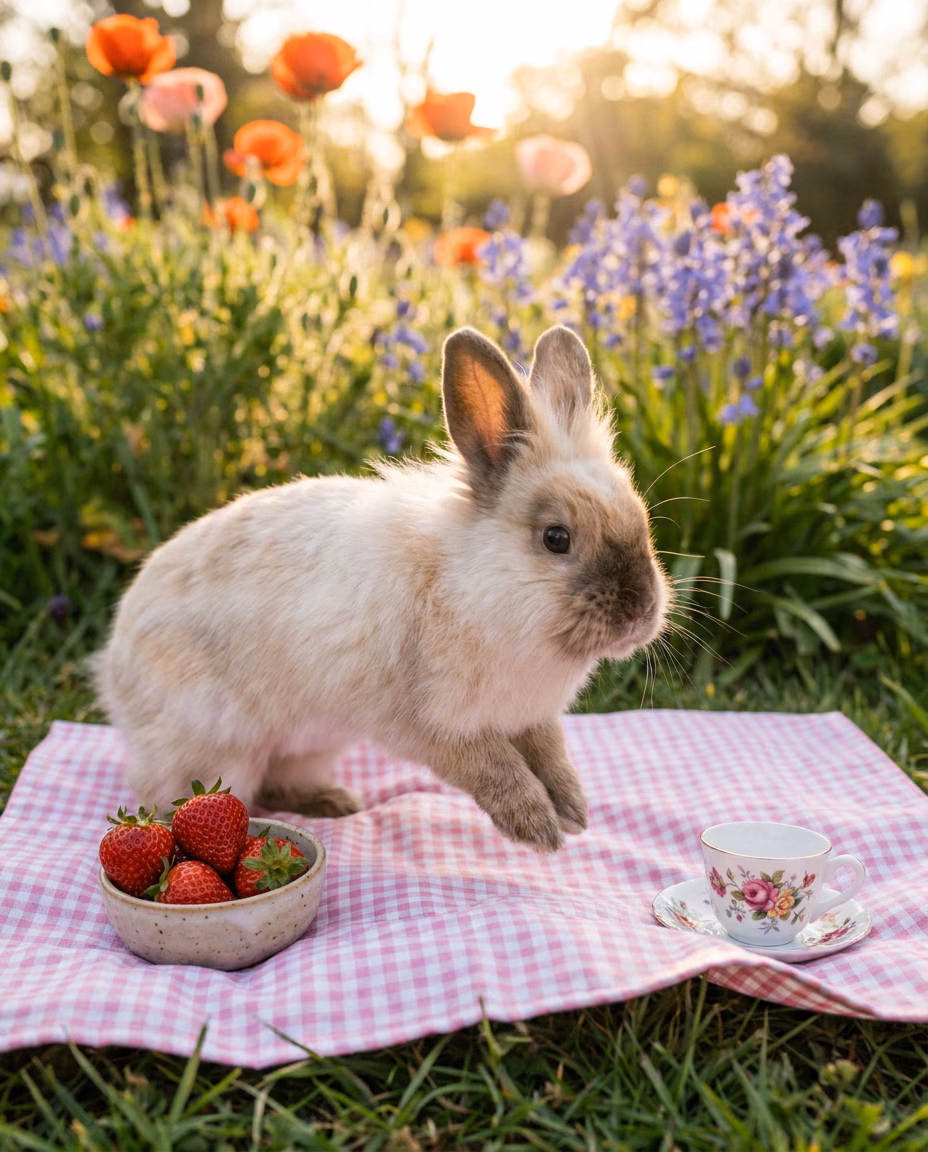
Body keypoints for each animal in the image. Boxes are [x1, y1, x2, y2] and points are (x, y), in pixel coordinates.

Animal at [92, 324, 670, 852]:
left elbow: (553, 758)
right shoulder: (437, 728)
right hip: (221, 753)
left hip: (306, 748)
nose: (640, 611)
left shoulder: (533, 719)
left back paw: (335, 803)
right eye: (556, 538)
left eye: (640, 519)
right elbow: (496, 768)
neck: (472, 587)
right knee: (194, 801)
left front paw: (573, 811)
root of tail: (113, 667)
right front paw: (537, 828)